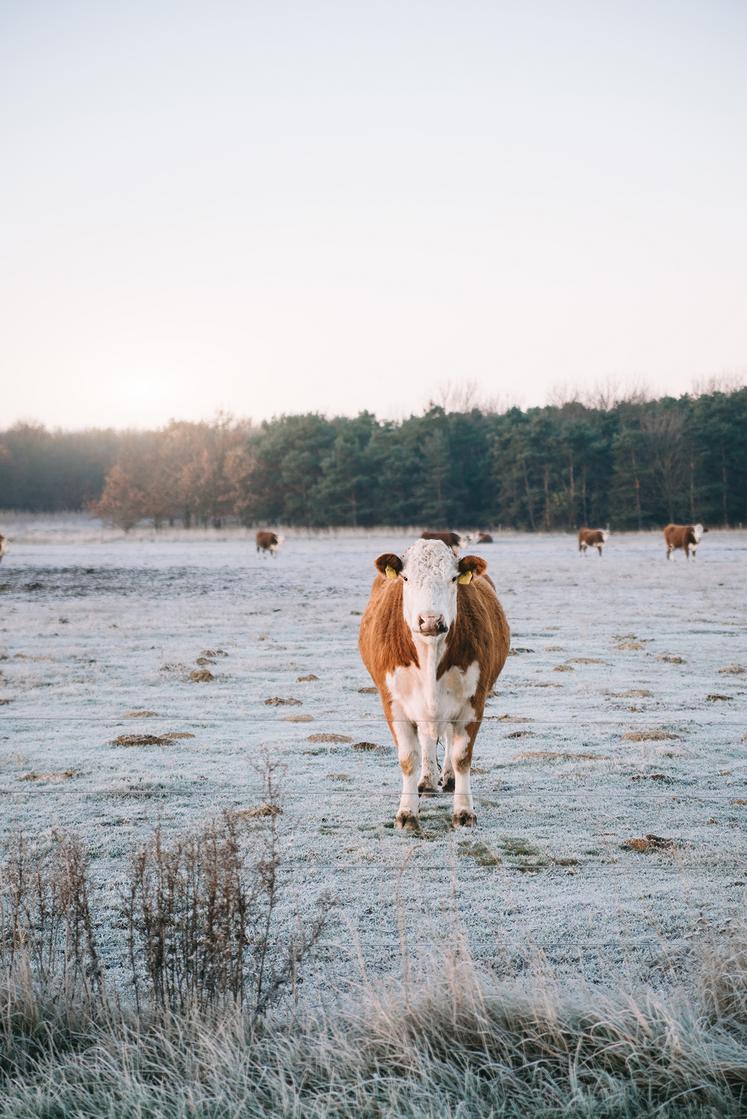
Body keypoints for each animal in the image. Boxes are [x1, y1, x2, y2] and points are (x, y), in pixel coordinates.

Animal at [357, 541, 509, 832]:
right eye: (406, 578)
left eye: (453, 579)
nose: (430, 620)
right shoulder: (394, 704)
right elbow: (409, 758)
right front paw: (407, 812)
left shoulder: (473, 702)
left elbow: (462, 757)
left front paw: (464, 811)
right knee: (427, 740)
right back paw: (426, 781)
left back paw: (447, 779)